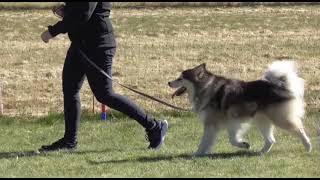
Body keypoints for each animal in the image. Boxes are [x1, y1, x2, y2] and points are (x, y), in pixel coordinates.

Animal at [169, 60, 312, 156]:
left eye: (180, 78)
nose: (169, 82)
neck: (205, 87)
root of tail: (279, 86)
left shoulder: (214, 123)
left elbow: (206, 141)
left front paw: (197, 153)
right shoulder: (233, 122)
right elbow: (232, 139)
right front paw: (244, 144)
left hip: (280, 118)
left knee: (299, 129)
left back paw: (308, 146)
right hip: (262, 120)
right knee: (271, 140)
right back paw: (261, 152)